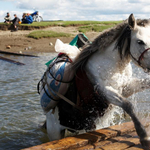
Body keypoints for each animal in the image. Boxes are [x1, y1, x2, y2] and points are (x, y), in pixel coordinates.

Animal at [40, 13, 150, 149]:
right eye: (140, 41)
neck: (114, 66)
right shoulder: (103, 91)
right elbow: (127, 105)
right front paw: (144, 137)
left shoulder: (126, 87)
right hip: (55, 131)